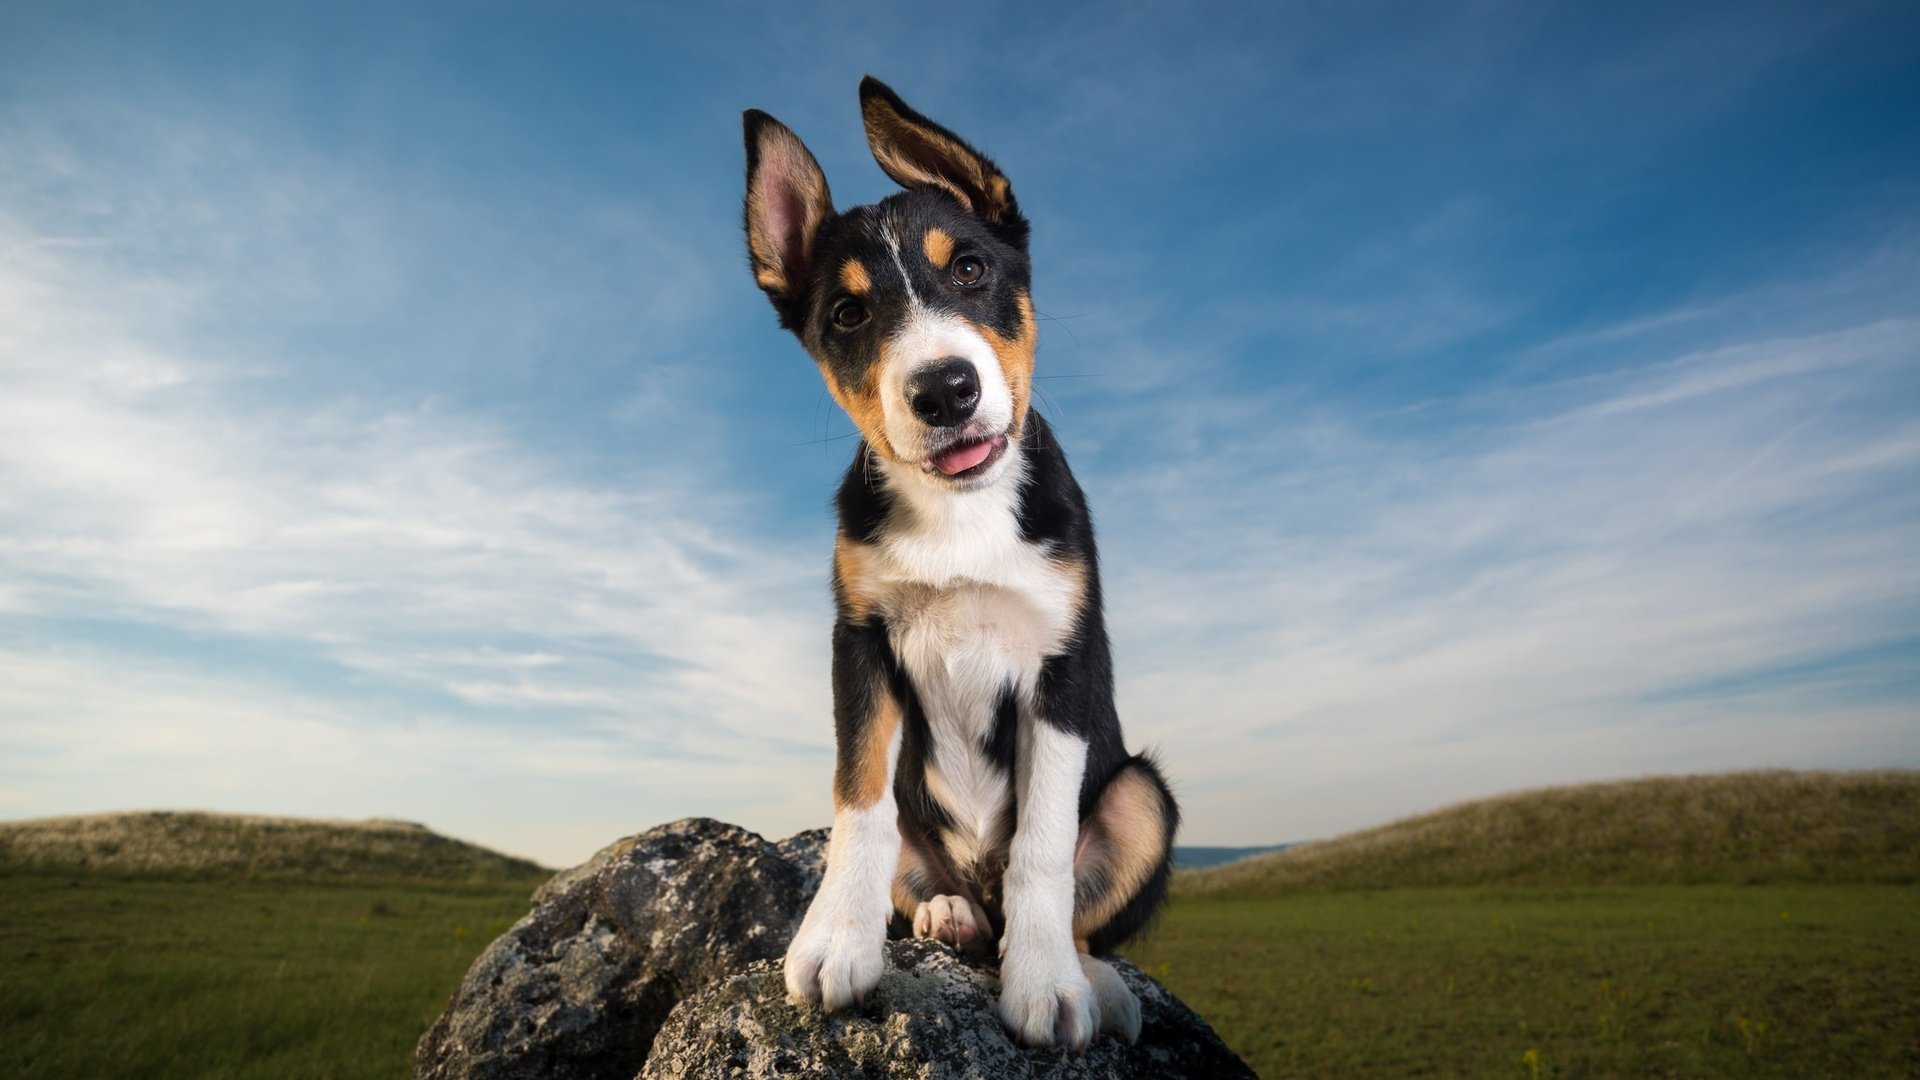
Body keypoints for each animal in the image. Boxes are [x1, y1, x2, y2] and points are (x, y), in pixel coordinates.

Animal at [737, 77, 1175, 1053]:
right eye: (849, 314)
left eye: (971, 270)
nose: (944, 390)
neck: (959, 513)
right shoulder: (860, 642)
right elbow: (858, 805)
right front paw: (837, 942)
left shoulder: (1064, 659)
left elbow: (1044, 847)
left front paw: (1046, 986)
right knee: (923, 865)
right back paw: (950, 913)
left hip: (1142, 796)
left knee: (1070, 903)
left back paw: (1090, 979)